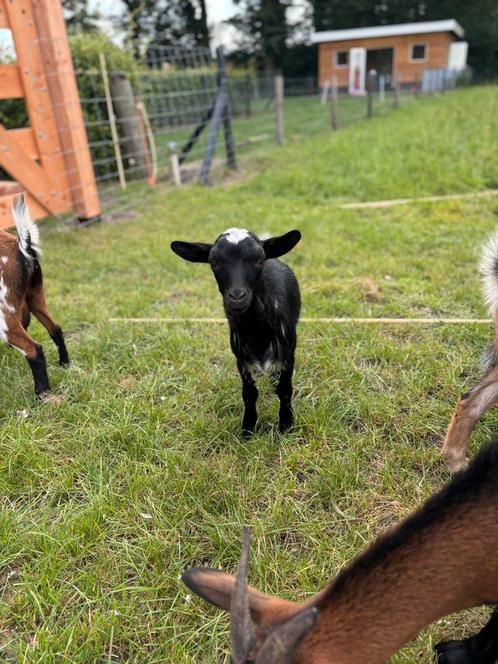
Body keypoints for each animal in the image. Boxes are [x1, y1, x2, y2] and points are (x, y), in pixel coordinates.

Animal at [0, 195, 69, 396]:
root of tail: (20, 246)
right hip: (36, 298)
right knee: (55, 329)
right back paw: (65, 364)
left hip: (4, 318)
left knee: (34, 350)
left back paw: (42, 394)